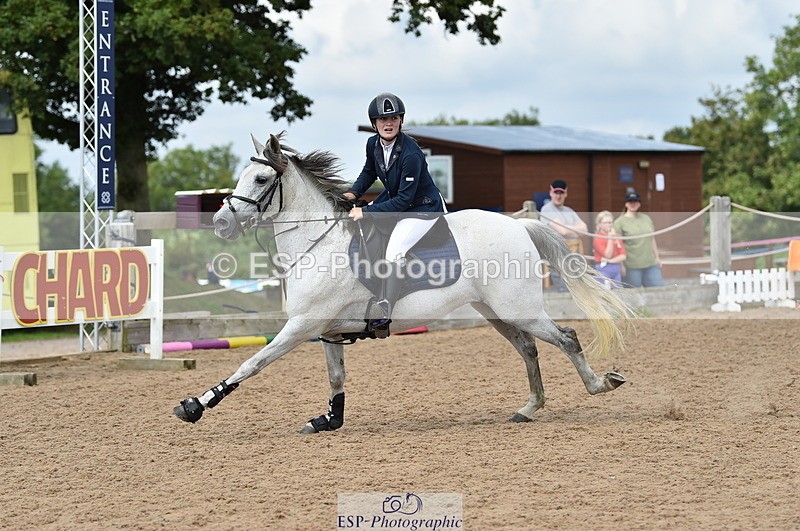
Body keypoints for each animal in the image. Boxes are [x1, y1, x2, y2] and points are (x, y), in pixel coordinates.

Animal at [173, 132, 632, 433]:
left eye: (261, 180)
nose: (221, 223)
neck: (317, 243)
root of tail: (520, 226)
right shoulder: (326, 329)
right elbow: (336, 377)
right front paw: (330, 420)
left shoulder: (302, 325)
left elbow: (251, 363)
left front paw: (195, 404)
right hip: (495, 311)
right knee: (529, 348)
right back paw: (530, 408)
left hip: (519, 308)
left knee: (566, 338)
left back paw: (599, 385)